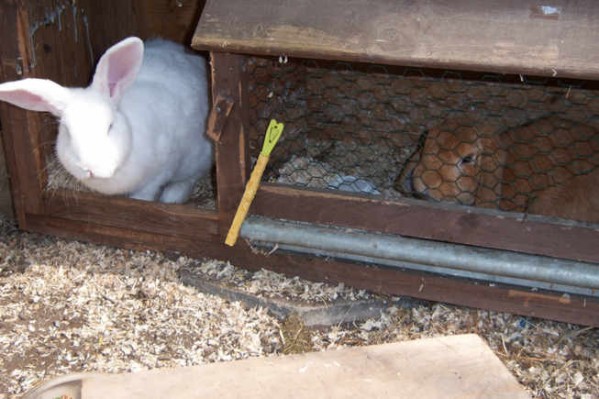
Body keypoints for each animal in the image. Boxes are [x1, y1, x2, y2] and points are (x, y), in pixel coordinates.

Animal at [0, 36, 213, 205]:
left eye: (110, 126)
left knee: (187, 180)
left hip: (198, 157)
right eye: (68, 132)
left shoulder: (160, 172)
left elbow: (145, 195)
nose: (91, 168)